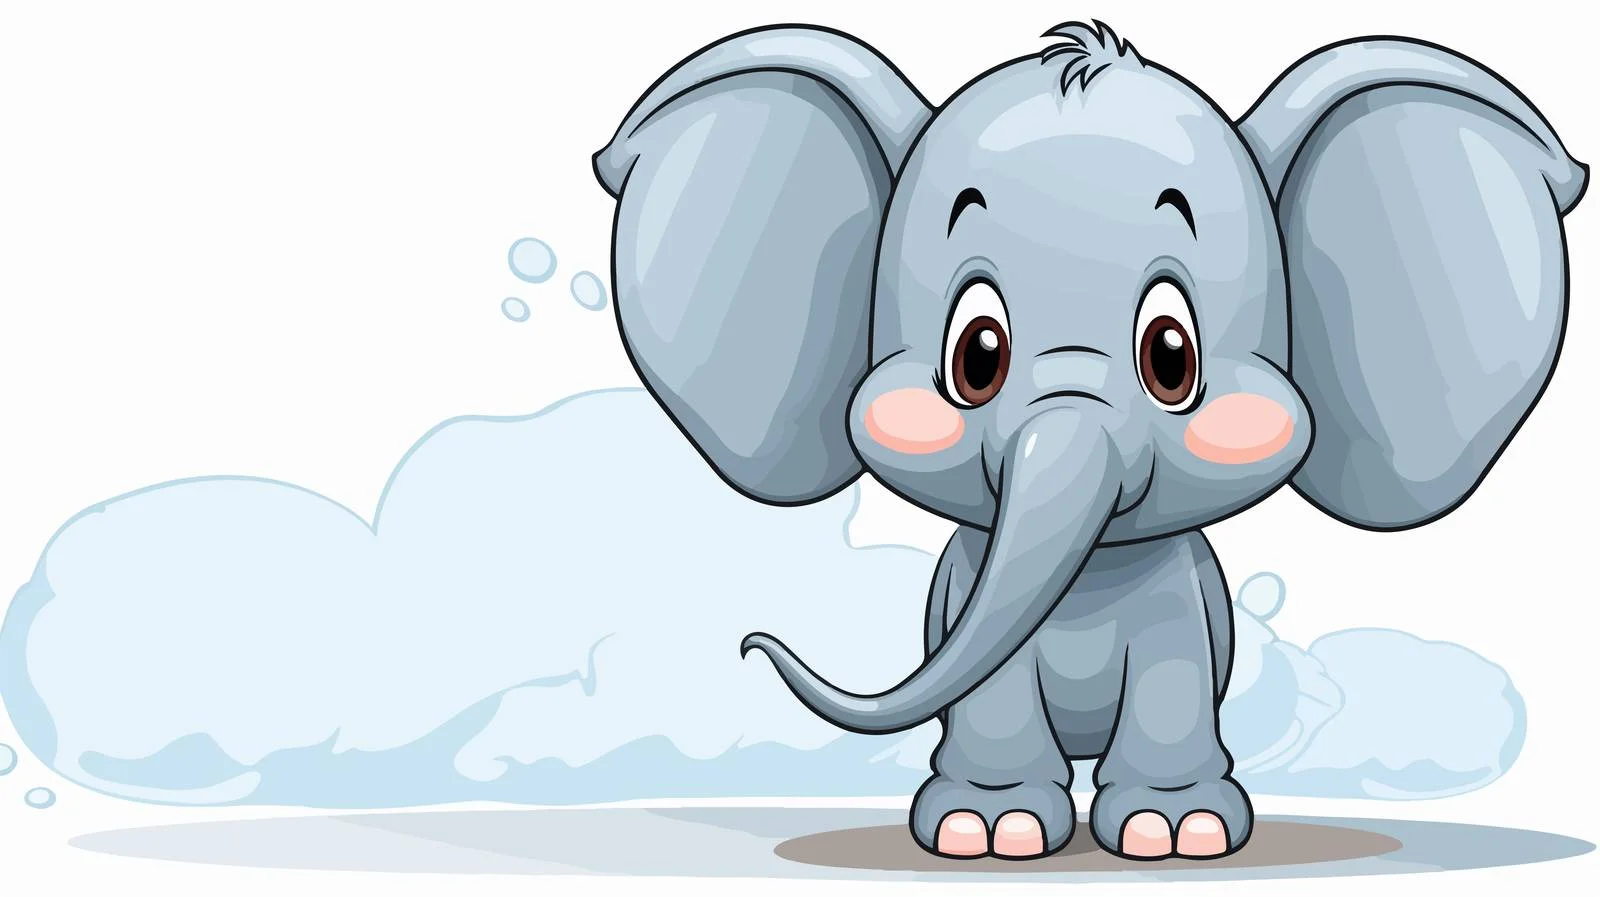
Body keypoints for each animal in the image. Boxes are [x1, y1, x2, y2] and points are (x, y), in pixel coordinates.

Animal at [592, 21, 1585, 860]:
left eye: (1171, 356)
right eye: (977, 355)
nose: (750, 645)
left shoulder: (1173, 607)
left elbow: (1171, 676)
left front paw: (1172, 834)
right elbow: (990, 685)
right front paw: (987, 833)